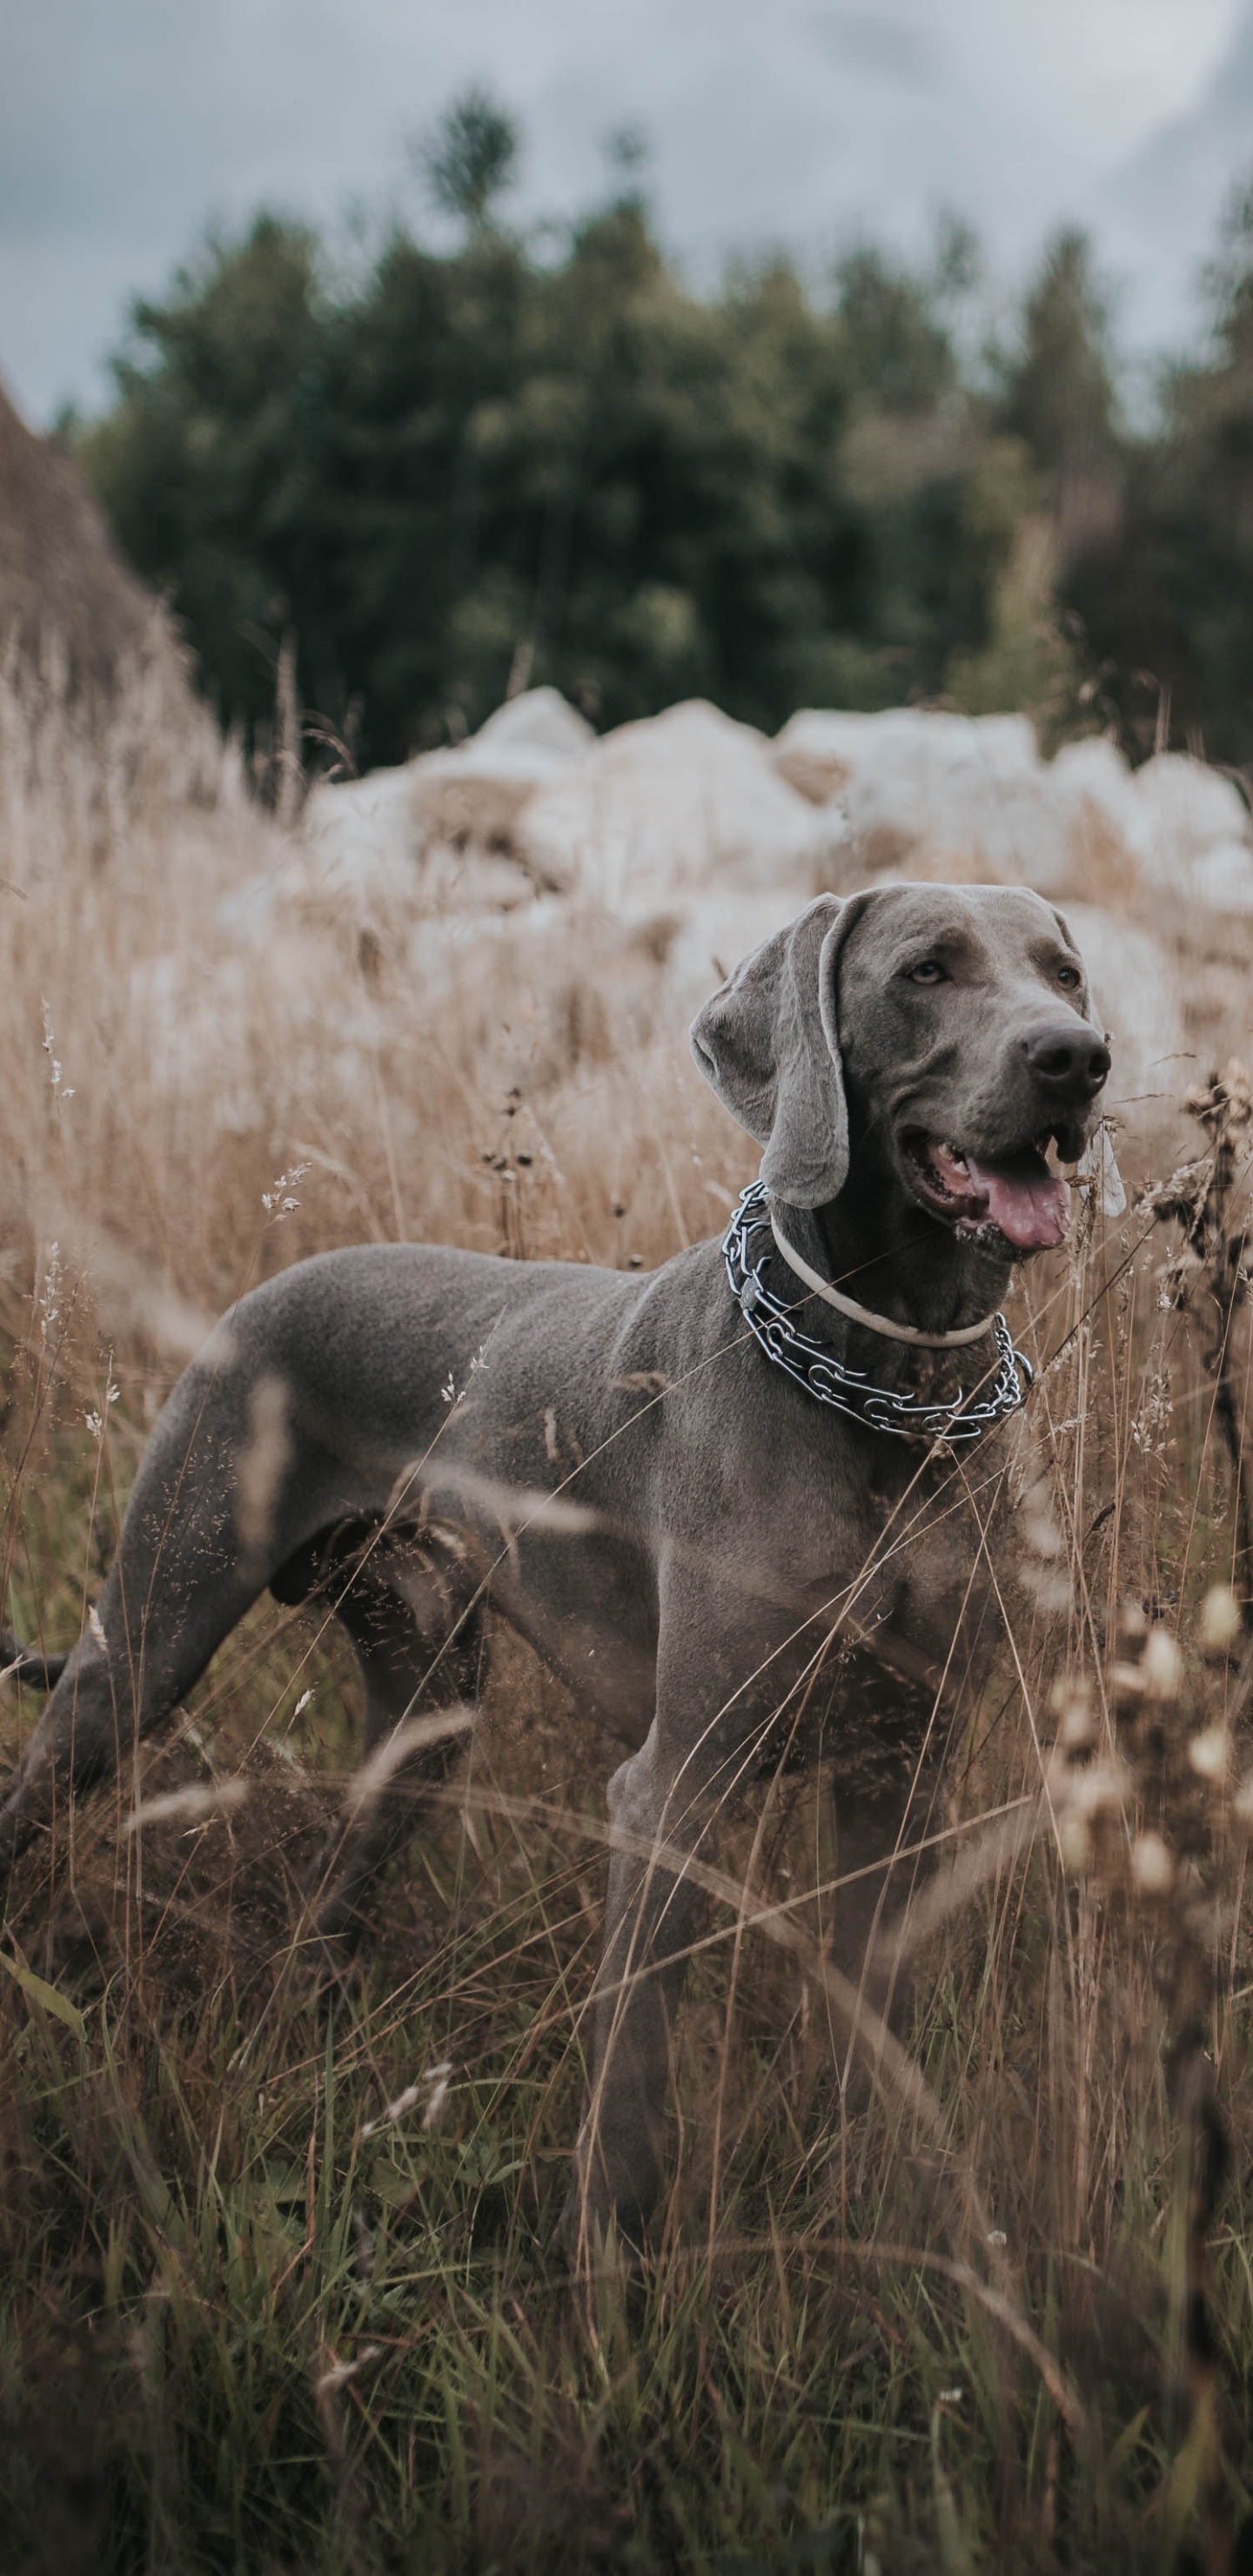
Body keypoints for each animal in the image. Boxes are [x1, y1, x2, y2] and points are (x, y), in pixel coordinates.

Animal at [4, 891, 1109, 2256]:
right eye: (927, 971)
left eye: (1066, 972)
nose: (1076, 1057)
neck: (894, 1393)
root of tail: (260, 1288)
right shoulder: (673, 1785)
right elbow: (629, 2086)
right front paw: (603, 2284)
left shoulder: (900, 1773)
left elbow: (873, 2047)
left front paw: (878, 2227)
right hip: (142, 1647)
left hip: (426, 1708)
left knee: (329, 1898)